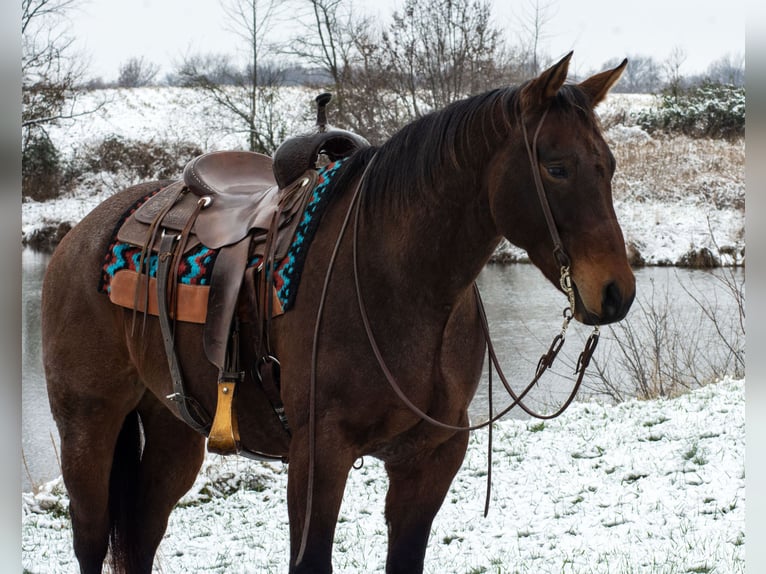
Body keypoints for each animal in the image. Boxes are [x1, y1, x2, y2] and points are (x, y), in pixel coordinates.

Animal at [42, 52, 635, 573]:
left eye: (608, 166)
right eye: (556, 167)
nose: (616, 293)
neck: (398, 281)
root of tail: (81, 233)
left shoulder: (429, 458)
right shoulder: (318, 457)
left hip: (173, 430)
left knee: (142, 532)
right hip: (88, 427)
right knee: (91, 539)